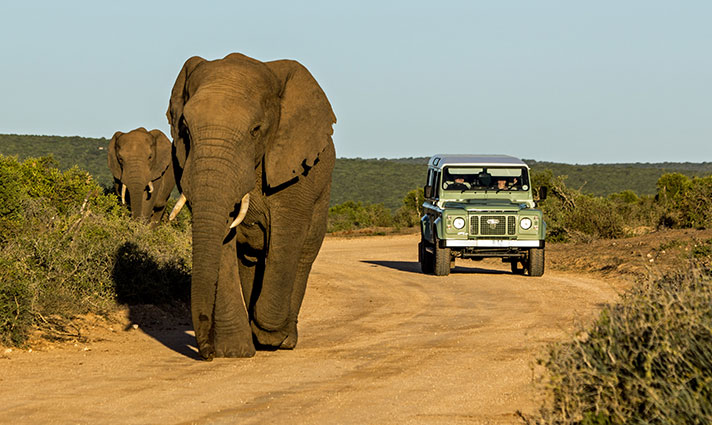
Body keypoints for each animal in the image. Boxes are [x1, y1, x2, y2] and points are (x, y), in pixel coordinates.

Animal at [166, 53, 336, 359]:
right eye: (185, 129)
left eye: (255, 130)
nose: (206, 352)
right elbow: (223, 243)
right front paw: (234, 351)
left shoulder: (294, 171)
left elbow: (287, 236)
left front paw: (269, 335)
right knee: (249, 260)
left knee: (303, 254)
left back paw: (283, 340)